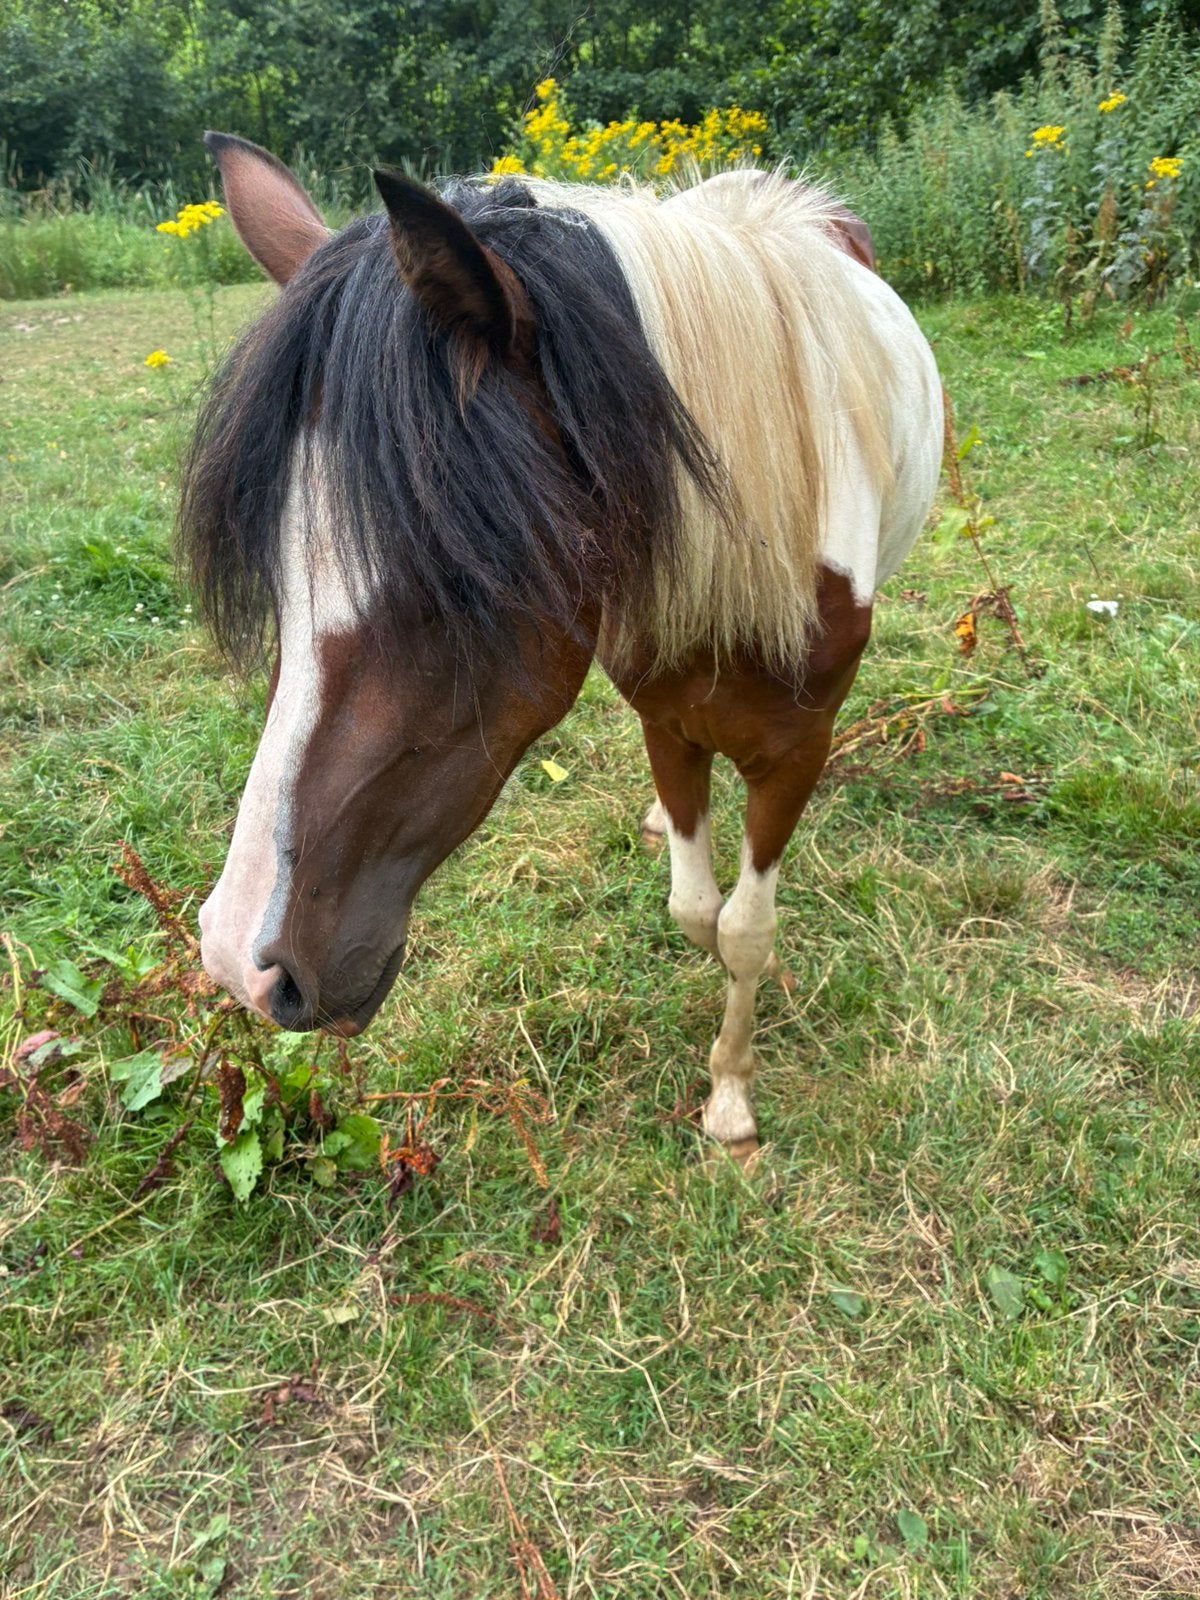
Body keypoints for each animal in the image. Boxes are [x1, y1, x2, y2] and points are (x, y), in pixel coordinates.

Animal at [186, 133, 943, 1165]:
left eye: (456, 579)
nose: (240, 962)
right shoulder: (667, 718)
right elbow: (697, 912)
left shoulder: (799, 747)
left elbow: (744, 929)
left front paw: (731, 1094)